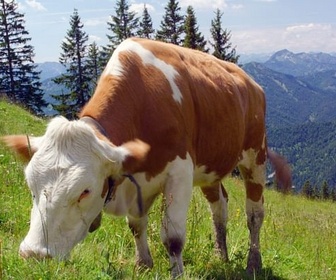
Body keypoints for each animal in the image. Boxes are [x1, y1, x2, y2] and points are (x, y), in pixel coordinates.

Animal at [2, 37, 290, 278]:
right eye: (31, 186)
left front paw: (177, 274)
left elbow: (173, 237)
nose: (34, 254)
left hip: (256, 156)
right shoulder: (139, 180)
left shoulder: (180, 173)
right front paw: (143, 265)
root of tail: (250, 82)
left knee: (254, 214)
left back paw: (253, 263)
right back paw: (222, 256)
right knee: (219, 208)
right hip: (212, 168)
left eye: (84, 191)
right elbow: (136, 225)